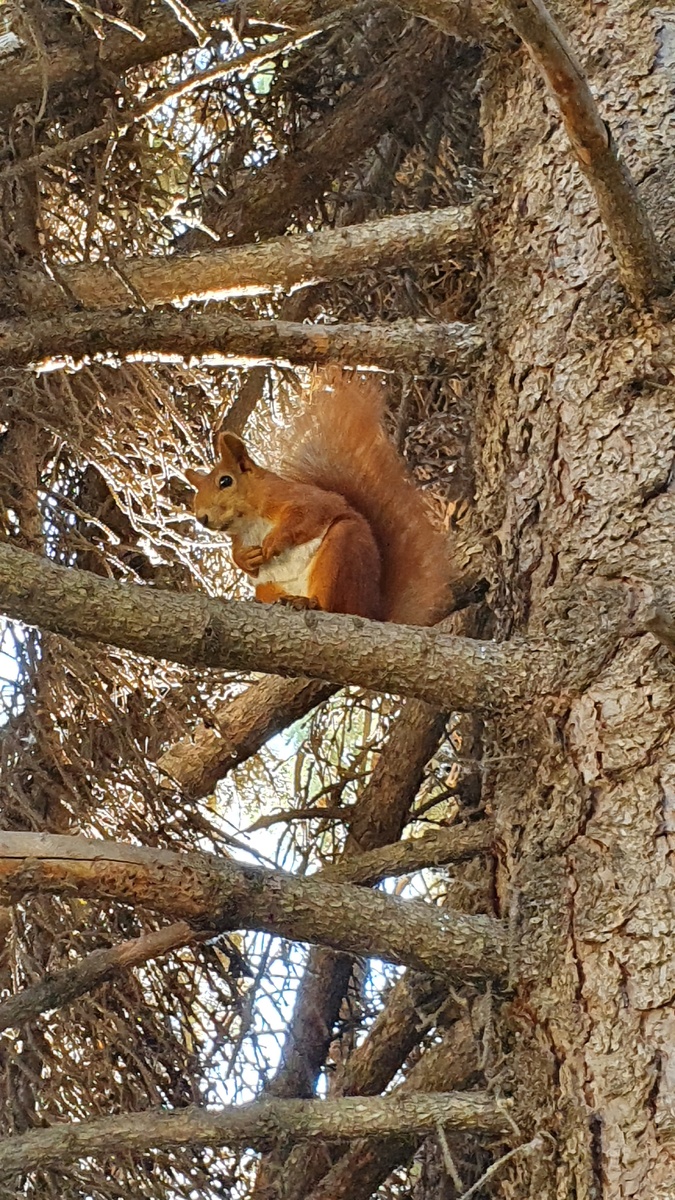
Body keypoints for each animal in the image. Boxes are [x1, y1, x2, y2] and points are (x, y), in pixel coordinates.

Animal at [185, 371, 450, 626]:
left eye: (225, 481)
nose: (202, 518)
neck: (250, 521)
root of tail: (371, 611)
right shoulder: (241, 538)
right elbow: (240, 556)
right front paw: (244, 559)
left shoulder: (297, 497)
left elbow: (307, 516)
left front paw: (274, 540)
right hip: (269, 586)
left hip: (340, 553)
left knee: (334, 606)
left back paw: (310, 603)